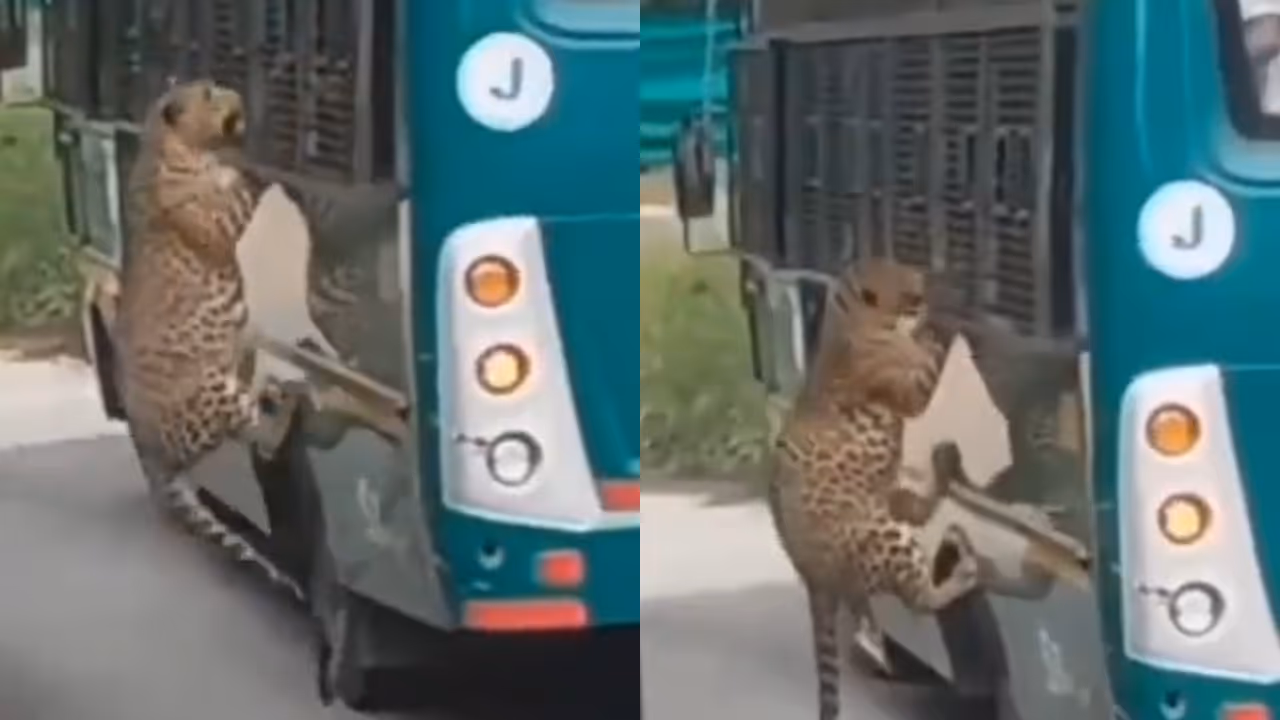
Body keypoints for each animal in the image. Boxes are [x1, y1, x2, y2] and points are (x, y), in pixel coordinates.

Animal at [113, 78, 301, 600]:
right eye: (210, 92)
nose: (235, 92)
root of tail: (147, 454)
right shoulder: (221, 218)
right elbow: (243, 186)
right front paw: (260, 157)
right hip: (210, 389)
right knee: (264, 437)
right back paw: (289, 400)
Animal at [767, 257, 982, 720]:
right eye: (911, 287)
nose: (928, 284)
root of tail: (812, 579)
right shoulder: (910, 385)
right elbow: (930, 357)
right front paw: (945, 314)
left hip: (890, 498)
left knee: (918, 510)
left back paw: (945, 468)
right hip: (882, 532)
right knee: (920, 598)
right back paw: (963, 571)